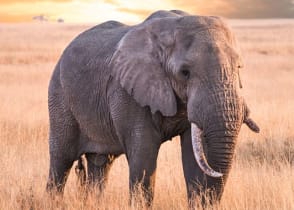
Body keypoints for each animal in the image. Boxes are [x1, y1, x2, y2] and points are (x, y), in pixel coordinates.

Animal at [44, 10, 258, 207]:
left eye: (239, 68)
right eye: (185, 72)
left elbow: (194, 156)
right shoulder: (127, 91)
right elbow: (143, 156)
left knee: (100, 163)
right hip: (59, 95)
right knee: (61, 159)